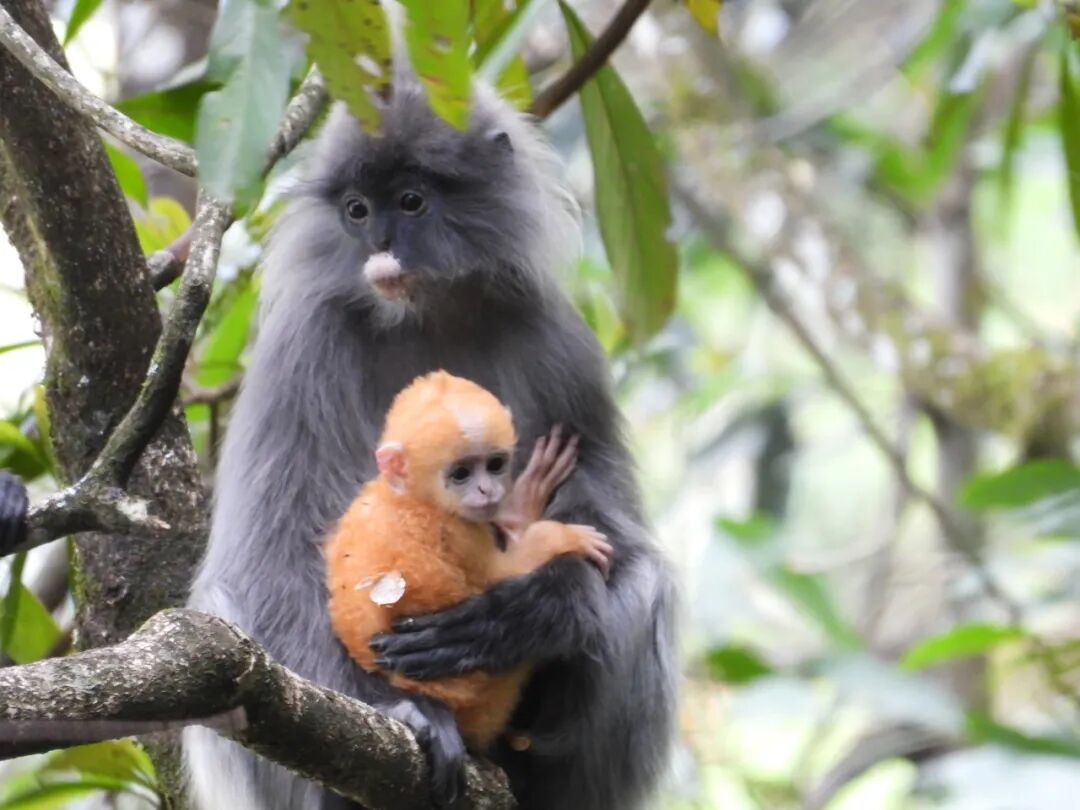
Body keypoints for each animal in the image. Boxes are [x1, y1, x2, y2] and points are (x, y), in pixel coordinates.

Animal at [326, 370, 613, 755]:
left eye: (494, 465)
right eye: (461, 473)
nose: (486, 491)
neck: (413, 497)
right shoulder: (458, 531)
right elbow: (503, 572)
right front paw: (563, 536)